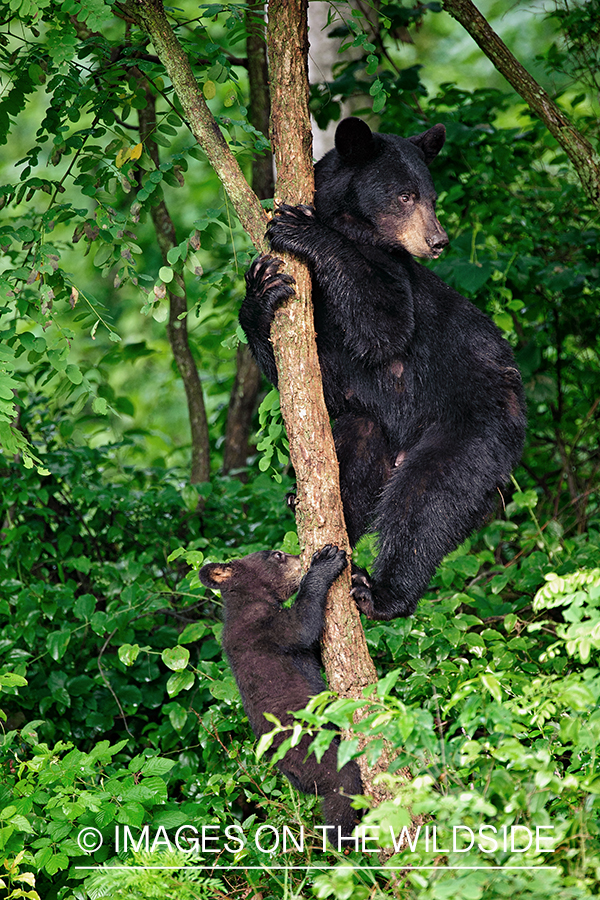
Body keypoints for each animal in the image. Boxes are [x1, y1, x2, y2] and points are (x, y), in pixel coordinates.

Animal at [199, 540, 364, 844]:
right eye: (277, 555)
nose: (301, 556)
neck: (250, 600)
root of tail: (295, 781)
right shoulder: (262, 626)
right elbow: (302, 626)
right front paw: (326, 561)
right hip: (310, 751)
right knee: (342, 784)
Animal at [239, 116, 524, 624]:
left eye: (431, 196)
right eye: (405, 196)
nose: (437, 241)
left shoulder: (394, 281)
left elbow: (384, 323)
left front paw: (299, 227)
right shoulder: (321, 321)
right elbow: (322, 381)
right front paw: (262, 289)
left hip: (472, 430)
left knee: (427, 501)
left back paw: (382, 592)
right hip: (380, 433)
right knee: (355, 443)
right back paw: (312, 510)